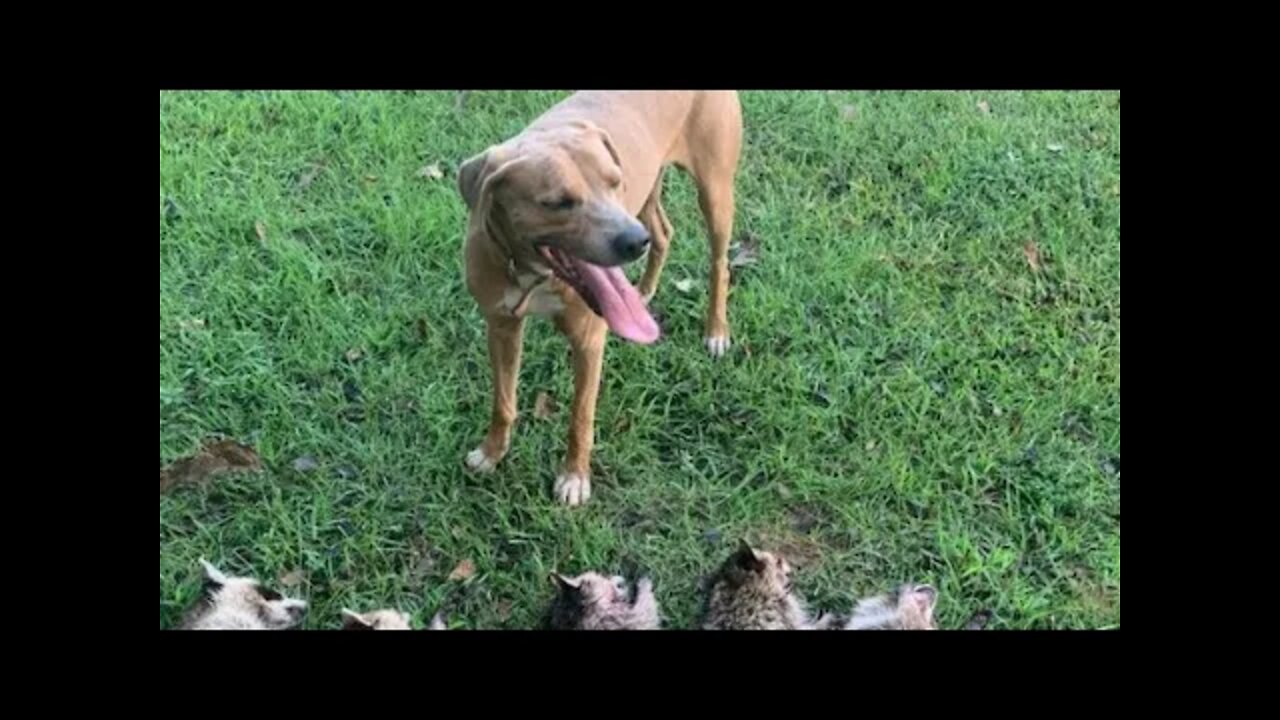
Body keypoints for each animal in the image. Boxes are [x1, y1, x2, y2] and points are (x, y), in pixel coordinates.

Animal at [458, 90, 742, 504]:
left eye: (613, 182)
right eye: (558, 202)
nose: (633, 241)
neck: (532, 274)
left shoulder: (589, 339)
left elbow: (580, 415)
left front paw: (574, 477)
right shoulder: (501, 327)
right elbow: (503, 401)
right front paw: (492, 452)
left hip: (714, 188)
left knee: (719, 263)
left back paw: (716, 331)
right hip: (649, 192)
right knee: (663, 231)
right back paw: (645, 288)